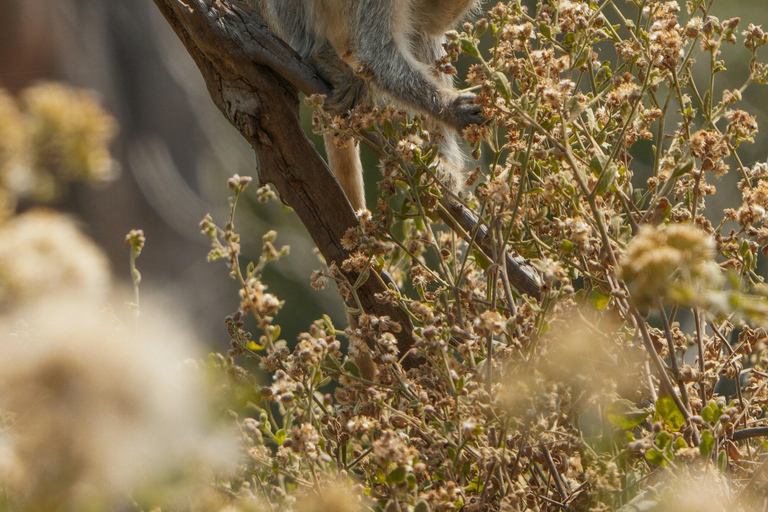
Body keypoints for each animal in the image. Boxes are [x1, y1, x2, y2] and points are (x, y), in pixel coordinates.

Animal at [249, 0, 484, 210]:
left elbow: (429, 24)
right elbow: (377, 54)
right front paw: (453, 109)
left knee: (421, 34)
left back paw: (439, 162)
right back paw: (314, 55)